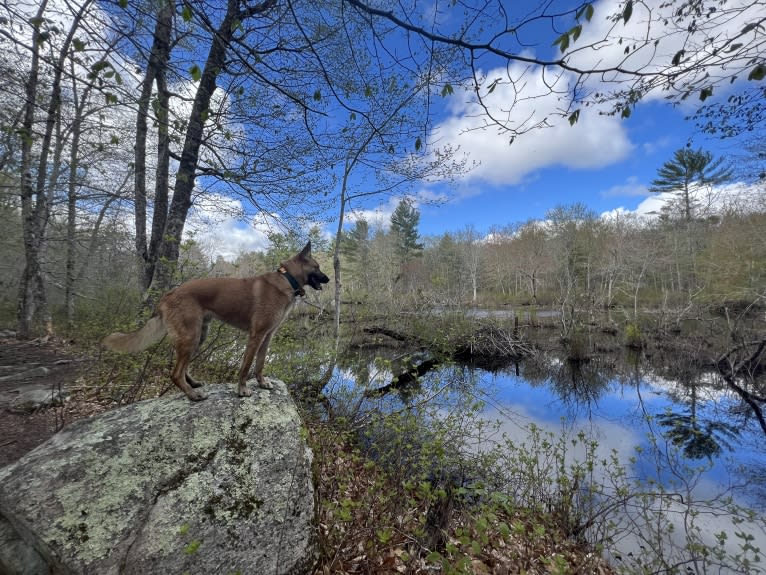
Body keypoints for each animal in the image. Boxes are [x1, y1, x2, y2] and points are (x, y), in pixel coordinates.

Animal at [102, 242, 330, 400]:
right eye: (317, 267)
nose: (328, 279)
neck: (286, 279)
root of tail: (168, 295)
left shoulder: (267, 337)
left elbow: (260, 364)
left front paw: (262, 383)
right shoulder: (256, 336)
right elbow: (246, 366)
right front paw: (242, 389)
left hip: (199, 336)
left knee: (182, 368)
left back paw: (192, 384)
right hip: (191, 336)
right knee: (175, 373)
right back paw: (192, 395)